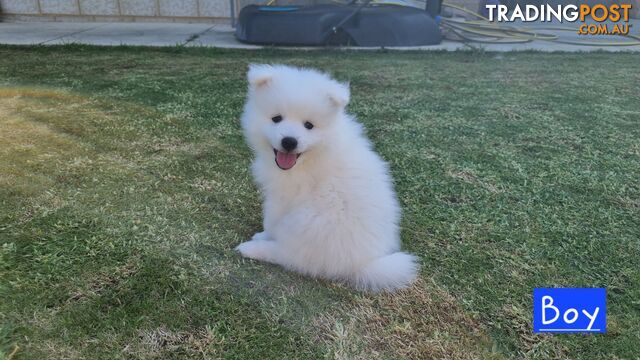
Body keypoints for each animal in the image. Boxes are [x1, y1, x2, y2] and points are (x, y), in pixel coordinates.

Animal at [238, 63, 418, 292]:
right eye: (276, 118)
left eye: (309, 125)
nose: (289, 141)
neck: (312, 157)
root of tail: (360, 264)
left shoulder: (283, 197)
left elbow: (271, 221)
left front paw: (263, 235)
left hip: (307, 223)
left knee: (289, 255)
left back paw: (251, 248)